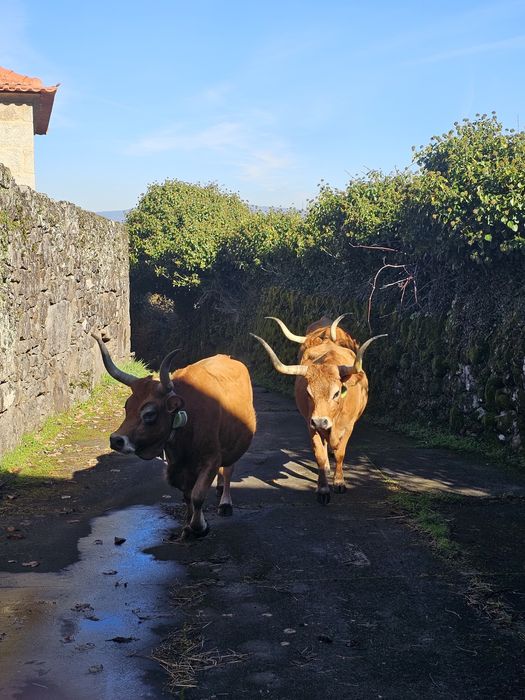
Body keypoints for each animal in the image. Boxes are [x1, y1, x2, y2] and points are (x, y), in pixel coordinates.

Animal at [92, 334, 256, 540]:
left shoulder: (211, 459)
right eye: (127, 407)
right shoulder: (177, 466)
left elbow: (198, 495)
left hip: (233, 444)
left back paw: (225, 502)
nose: (116, 440)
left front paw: (198, 527)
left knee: (228, 471)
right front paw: (187, 523)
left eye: (149, 414)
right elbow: (187, 496)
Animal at [251, 316, 385, 504]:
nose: (321, 420)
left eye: (336, 393)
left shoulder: (348, 426)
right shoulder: (311, 425)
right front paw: (323, 489)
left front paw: (339, 482)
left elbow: (340, 454)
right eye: (308, 392)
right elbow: (320, 456)